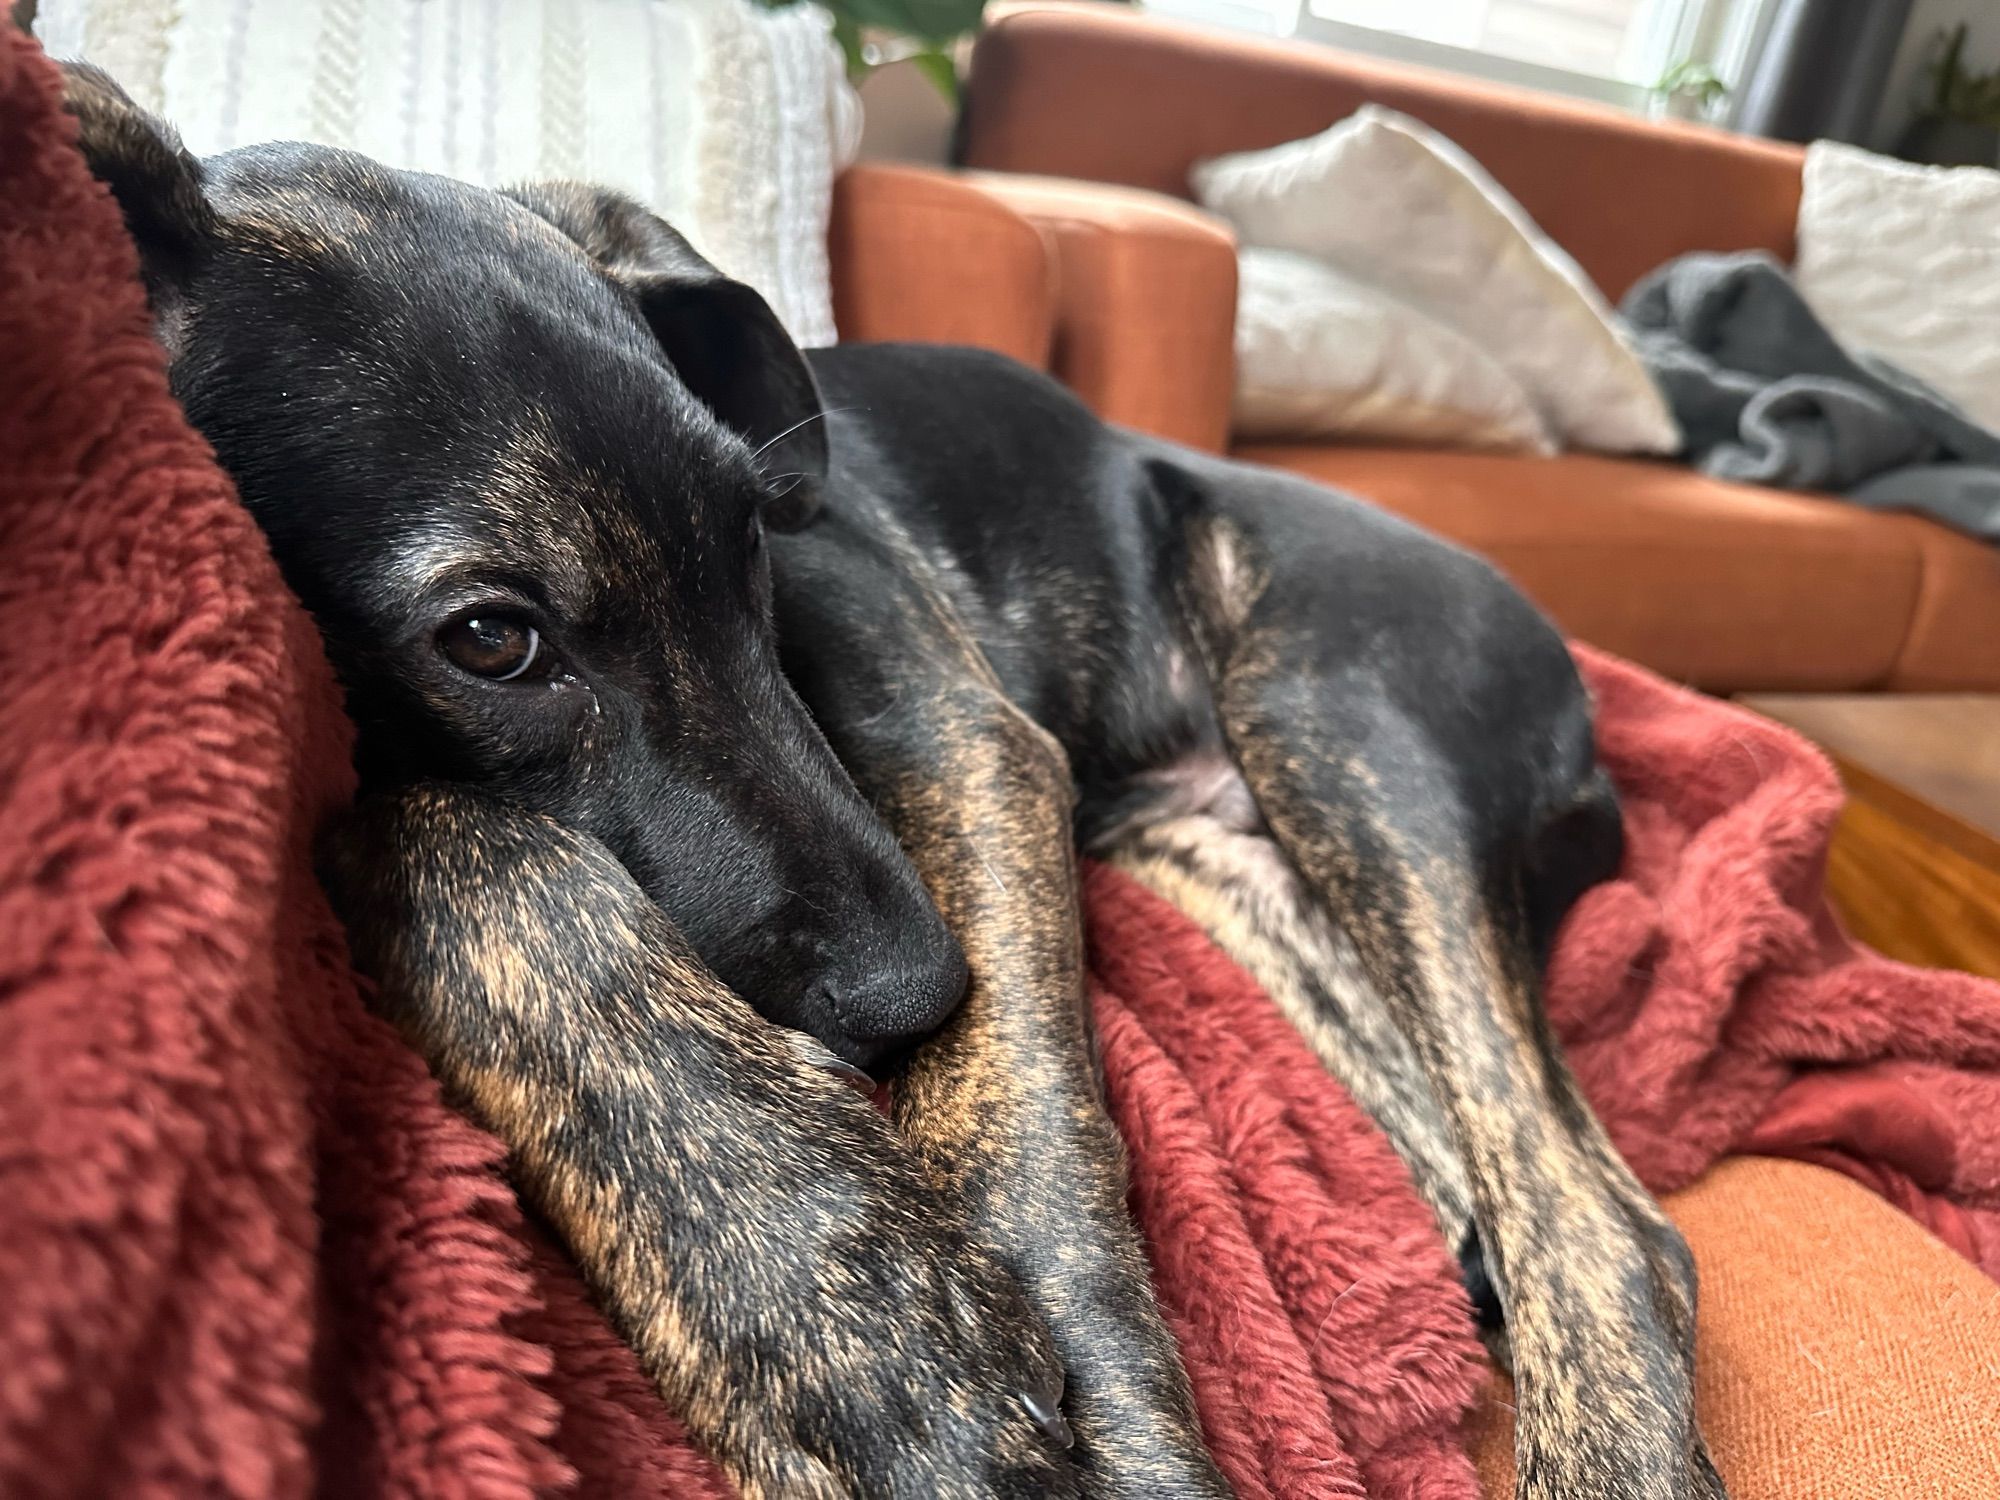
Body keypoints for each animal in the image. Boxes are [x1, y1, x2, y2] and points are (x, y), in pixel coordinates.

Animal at [62, 64, 1720, 1496]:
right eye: (491, 639)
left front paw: (926, 1361)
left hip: (1342, 717)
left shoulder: (968, 747)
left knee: (1595, 1213)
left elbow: (1037, 1155)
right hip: (1236, 859)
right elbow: (442, 839)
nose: (914, 989)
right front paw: (812, 1285)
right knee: (1504, 1165)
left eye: (756, 530)